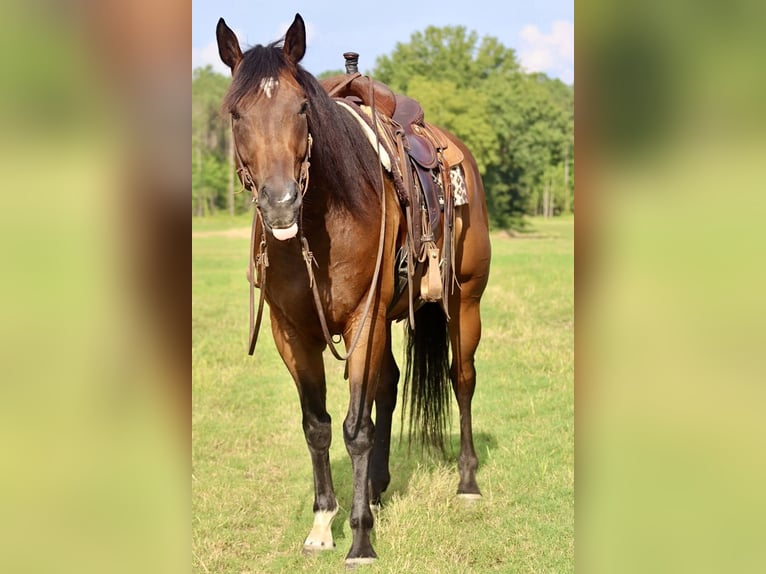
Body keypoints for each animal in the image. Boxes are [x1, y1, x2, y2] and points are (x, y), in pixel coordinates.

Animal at [216, 13, 491, 566]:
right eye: (236, 113)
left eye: (302, 107)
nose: (279, 203)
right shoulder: (290, 332)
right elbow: (318, 424)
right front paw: (324, 523)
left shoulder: (364, 319)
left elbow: (355, 429)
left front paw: (361, 540)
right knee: (390, 385)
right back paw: (379, 488)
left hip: (464, 302)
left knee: (462, 379)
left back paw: (467, 482)